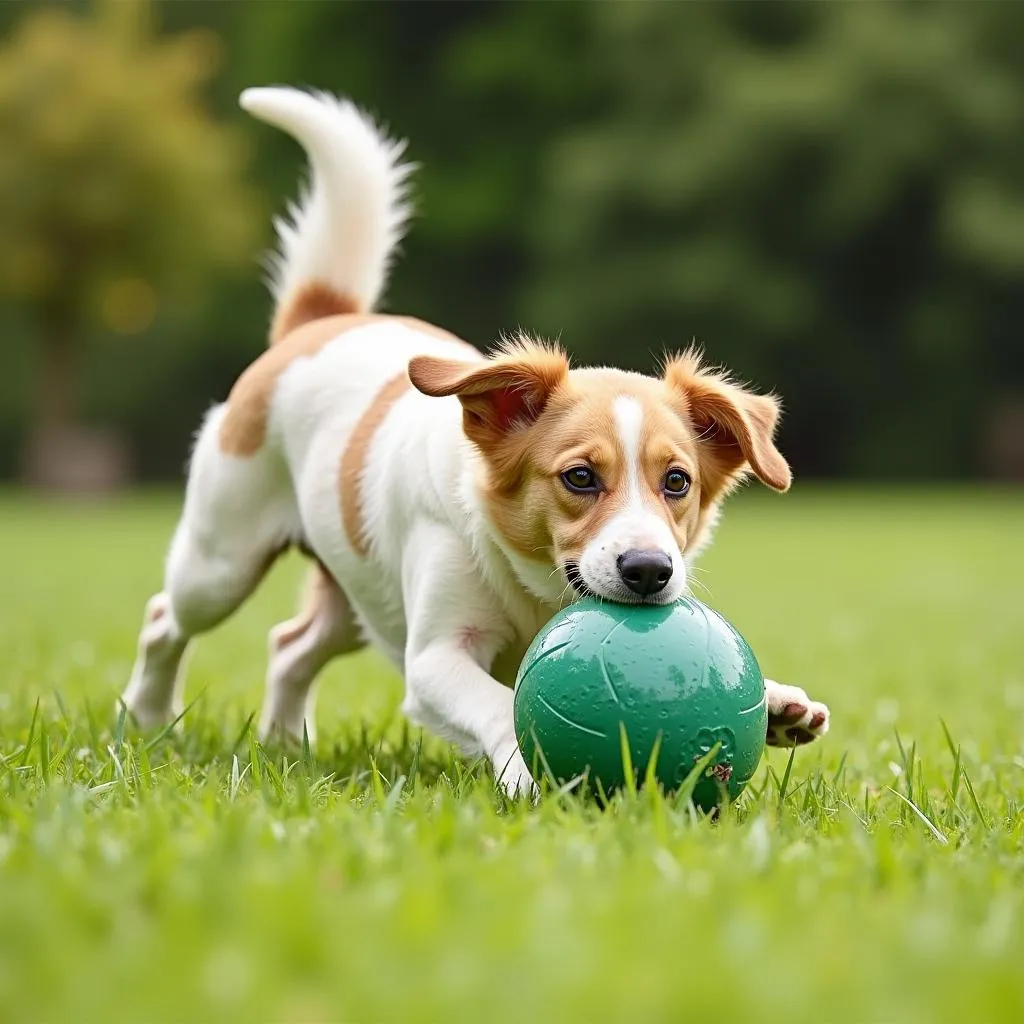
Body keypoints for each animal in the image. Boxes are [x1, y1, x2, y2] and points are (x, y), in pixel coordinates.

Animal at [119, 88, 827, 790]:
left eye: (677, 481)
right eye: (579, 477)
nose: (651, 571)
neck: (537, 588)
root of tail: (323, 320)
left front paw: (777, 705)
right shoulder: (434, 656)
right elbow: (496, 703)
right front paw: (526, 772)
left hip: (358, 597)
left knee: (289, 647)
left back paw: (287, 743)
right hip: (221, 564)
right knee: (162, 620)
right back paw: (146, 717)